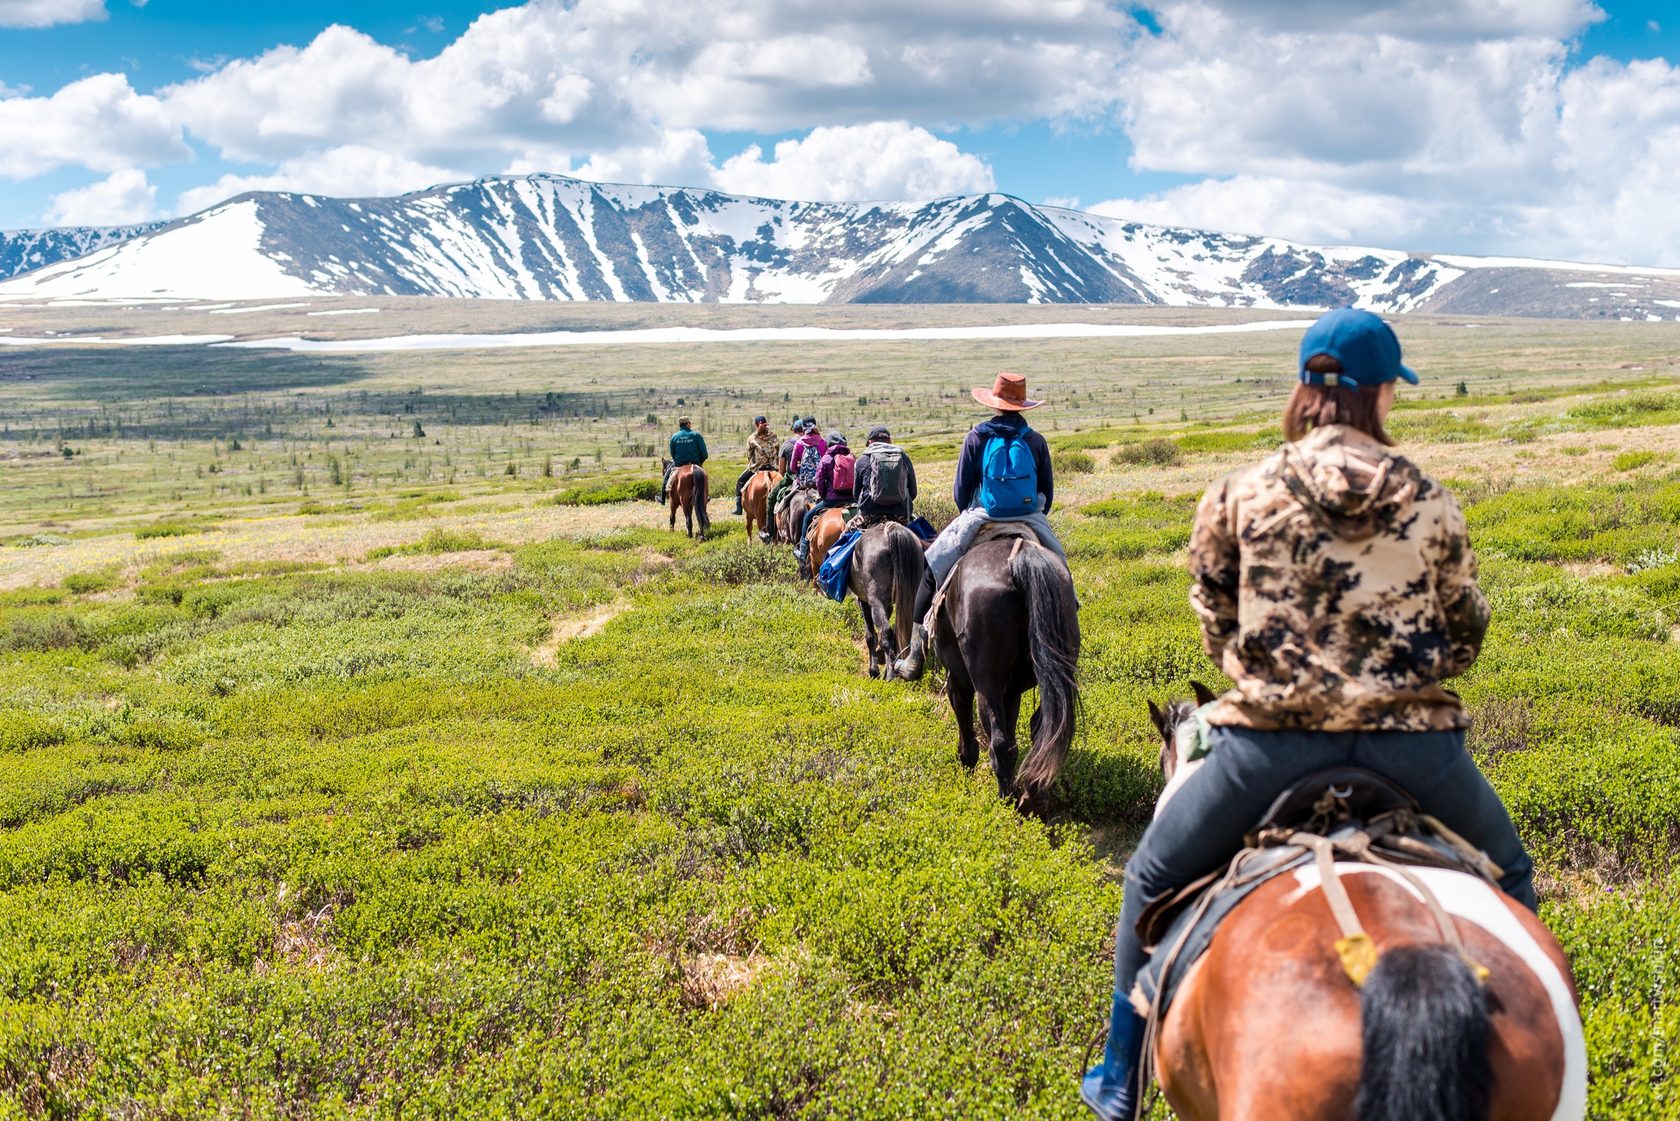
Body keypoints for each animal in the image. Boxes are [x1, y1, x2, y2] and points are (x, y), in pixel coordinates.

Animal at [846, 521, 927, 678]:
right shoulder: (888, 604)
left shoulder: (864, 602)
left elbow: (871, 635)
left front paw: (874, 670)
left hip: (875, 601)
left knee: (886, 632)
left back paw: (890, 674)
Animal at [934, 537, 1075, 803]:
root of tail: (1020, 559)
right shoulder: (1011, 692)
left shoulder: (957, 682)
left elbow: (966, 726)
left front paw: (966, 765)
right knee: (1042, 731)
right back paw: (1031, 795)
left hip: (986, 686)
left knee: (998, 743)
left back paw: (1006, 800)